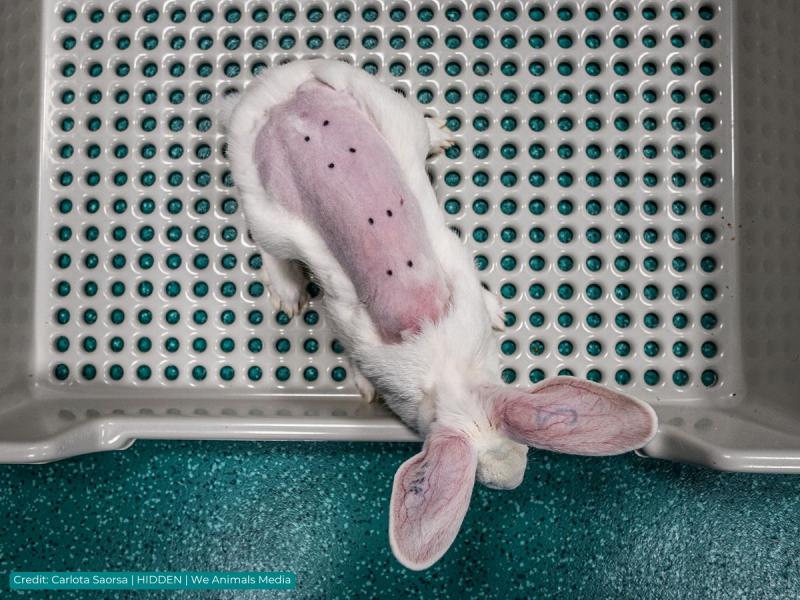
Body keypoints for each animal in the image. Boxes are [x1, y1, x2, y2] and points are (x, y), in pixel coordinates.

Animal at [223, 58, 656, 568]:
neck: (447, 373)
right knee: (269, 250)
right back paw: (288, 295)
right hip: (266, 214)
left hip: (384, 108)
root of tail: (280, 93)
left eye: (523, 452)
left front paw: (498, 313)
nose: (514, 479)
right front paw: (366, 389)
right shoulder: (346, 326)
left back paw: (442, 134)